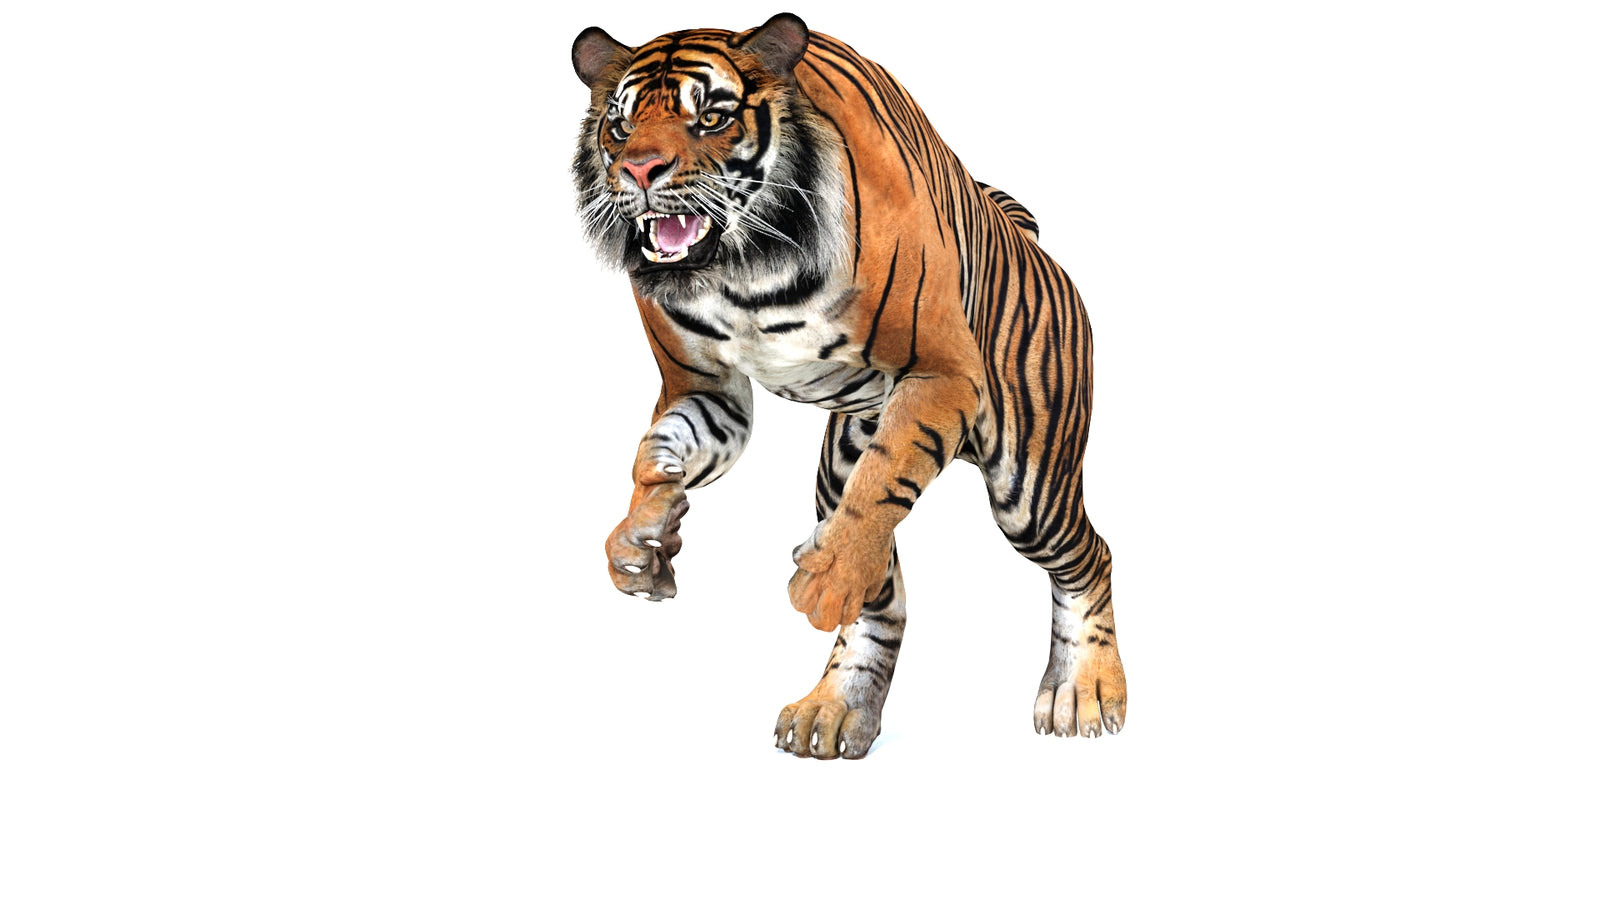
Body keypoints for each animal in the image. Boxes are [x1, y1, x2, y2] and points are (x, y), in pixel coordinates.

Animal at [571, 13, 1127, 759]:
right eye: (621, 126)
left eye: (711, 117)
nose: (637, 171)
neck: (741, 269)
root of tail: (1034, 244)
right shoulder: (707, 389)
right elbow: (658, 452)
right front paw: (641, 542)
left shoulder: (942, 373)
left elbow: (884, 480)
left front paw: (824, 581)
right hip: (840, 464)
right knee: (882, 598)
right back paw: (833, 710)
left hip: (1032, 486)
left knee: (1087, 556)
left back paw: (1085, 692)